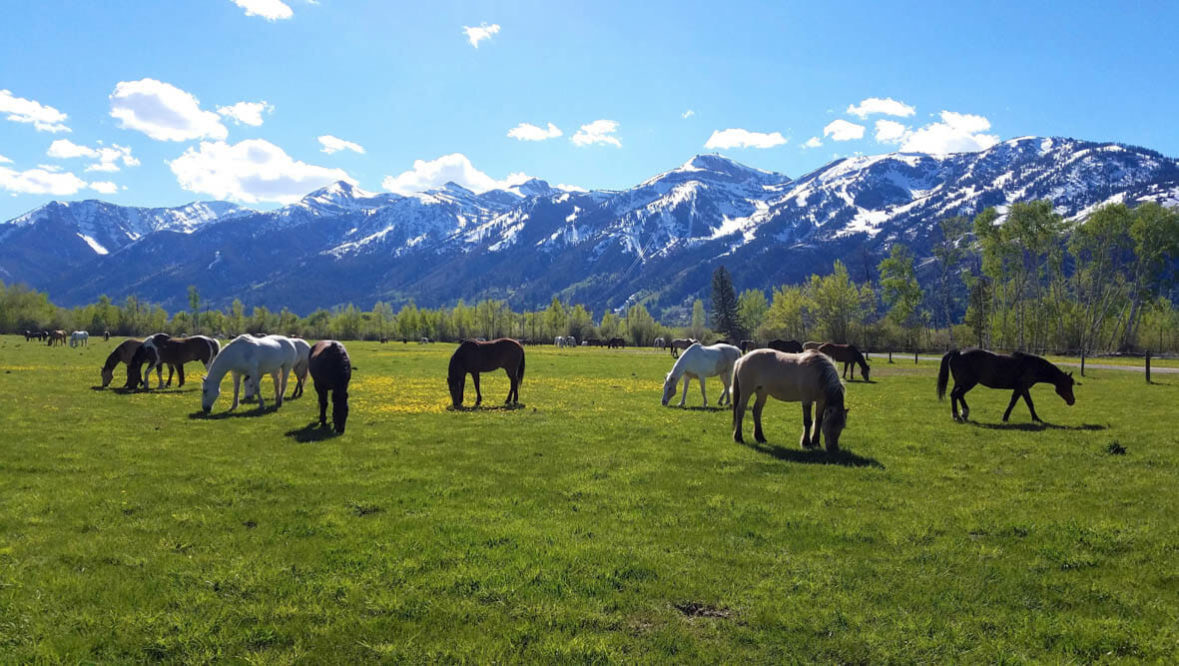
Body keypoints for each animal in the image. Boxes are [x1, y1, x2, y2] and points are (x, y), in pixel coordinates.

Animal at [937, 349, 1077, 423]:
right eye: (1067, 385)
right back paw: (957, 415)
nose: (1072, 401)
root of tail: (958, 353)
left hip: (961, 383)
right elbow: (1027, 403)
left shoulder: (1019, 389)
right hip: (968, 383)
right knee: (956, 395)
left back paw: (963, 413)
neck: (1033, 365)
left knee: (956, 395)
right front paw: (1036, 419)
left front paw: (1006, 417)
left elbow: (1015, 402)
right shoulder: (1022, 388)